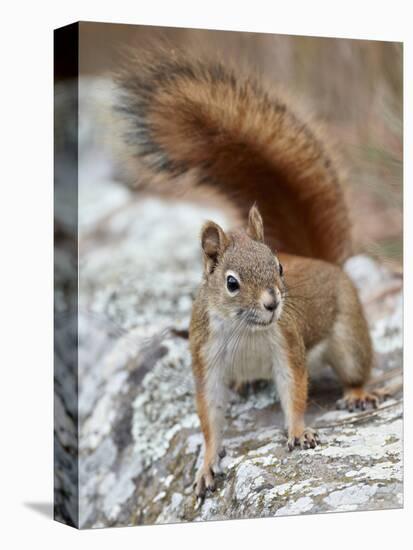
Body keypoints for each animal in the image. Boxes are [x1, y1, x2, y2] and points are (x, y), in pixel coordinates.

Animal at [114, 50, 382, 500]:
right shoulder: (206, 357)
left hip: (348, 334)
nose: (273, 303)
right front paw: (207, 463)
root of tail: (321, 261)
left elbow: (294, 389)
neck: (246, 331)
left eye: (279, 267)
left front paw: (298, 432)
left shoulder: (287, 343)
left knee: (353, 366)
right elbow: (209, 413)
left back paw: (359, 393)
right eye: (231, 283)